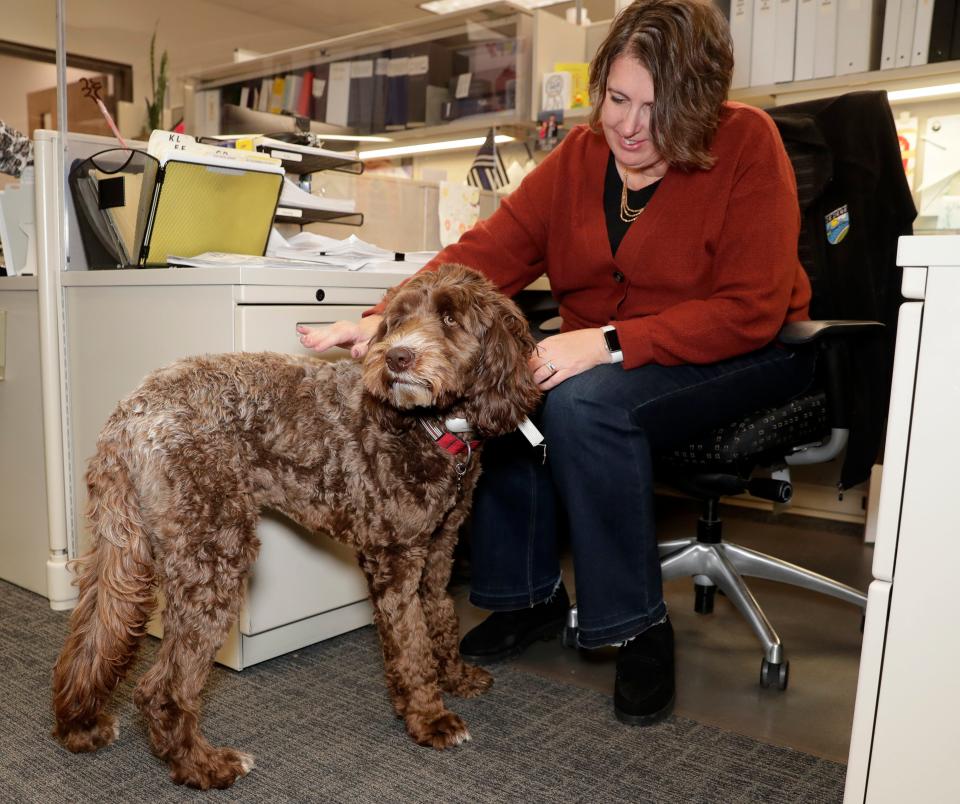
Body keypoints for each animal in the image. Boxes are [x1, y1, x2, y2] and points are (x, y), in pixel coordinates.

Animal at [52, 266, 544, 792]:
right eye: (397, 320)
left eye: (450, 318)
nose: (397, 356)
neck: (430, 427)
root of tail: (131, 412)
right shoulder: (395, 560)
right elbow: (412, 645)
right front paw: (430, 719)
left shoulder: (437, 550)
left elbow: (442, 618)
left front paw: (455, 677)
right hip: (214, 553)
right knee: (159, 688)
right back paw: (203, 765)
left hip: (124, 548)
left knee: (95, 634)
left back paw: (80, 726)